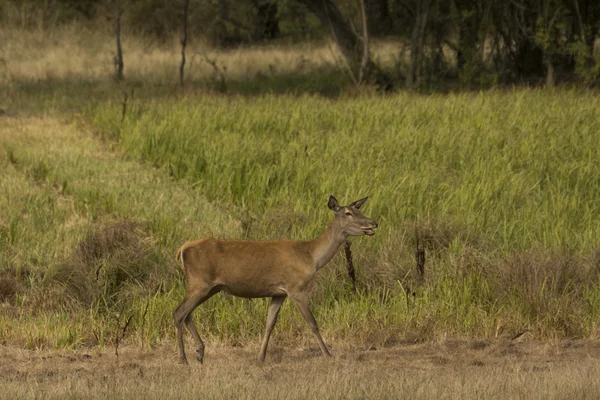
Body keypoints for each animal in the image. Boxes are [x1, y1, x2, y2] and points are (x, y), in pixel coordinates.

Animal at [173, 195, 378, 364]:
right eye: (348, 213)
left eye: (359, 210)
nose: (373, 223)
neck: (312, 257)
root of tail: (182, 249)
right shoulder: (297, 288)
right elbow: (312, 323)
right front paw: (328, 355)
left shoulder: (279, 293)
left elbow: (269, 324)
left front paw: (260, 358)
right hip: (199, 283)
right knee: (178, 312)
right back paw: (183, 359)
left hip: (210, 287)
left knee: (187, 313)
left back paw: (200, 352)